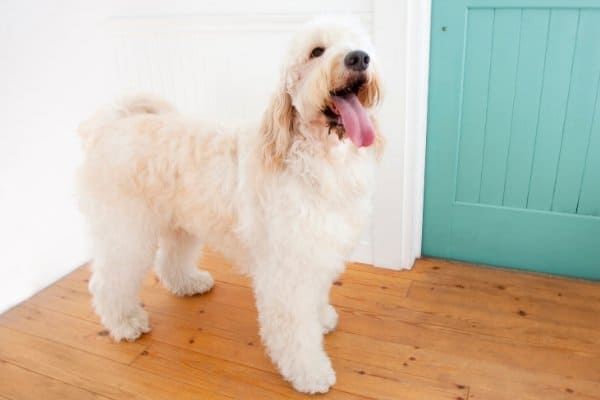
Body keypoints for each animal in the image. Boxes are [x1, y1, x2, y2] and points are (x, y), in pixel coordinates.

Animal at [77, 16, 382, 394]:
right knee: (108, 282)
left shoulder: (316, 253)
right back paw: (125, 322)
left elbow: (317, 296)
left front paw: (322, 317)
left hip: (179, 223)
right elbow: (295, 330)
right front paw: (310, 372)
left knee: (170, 263)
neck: (310, 159)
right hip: (126, 233)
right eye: (316, 51)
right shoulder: (286, 271)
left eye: (359, 44)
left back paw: (188, 283)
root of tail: (110, 126)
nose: (358, 58)